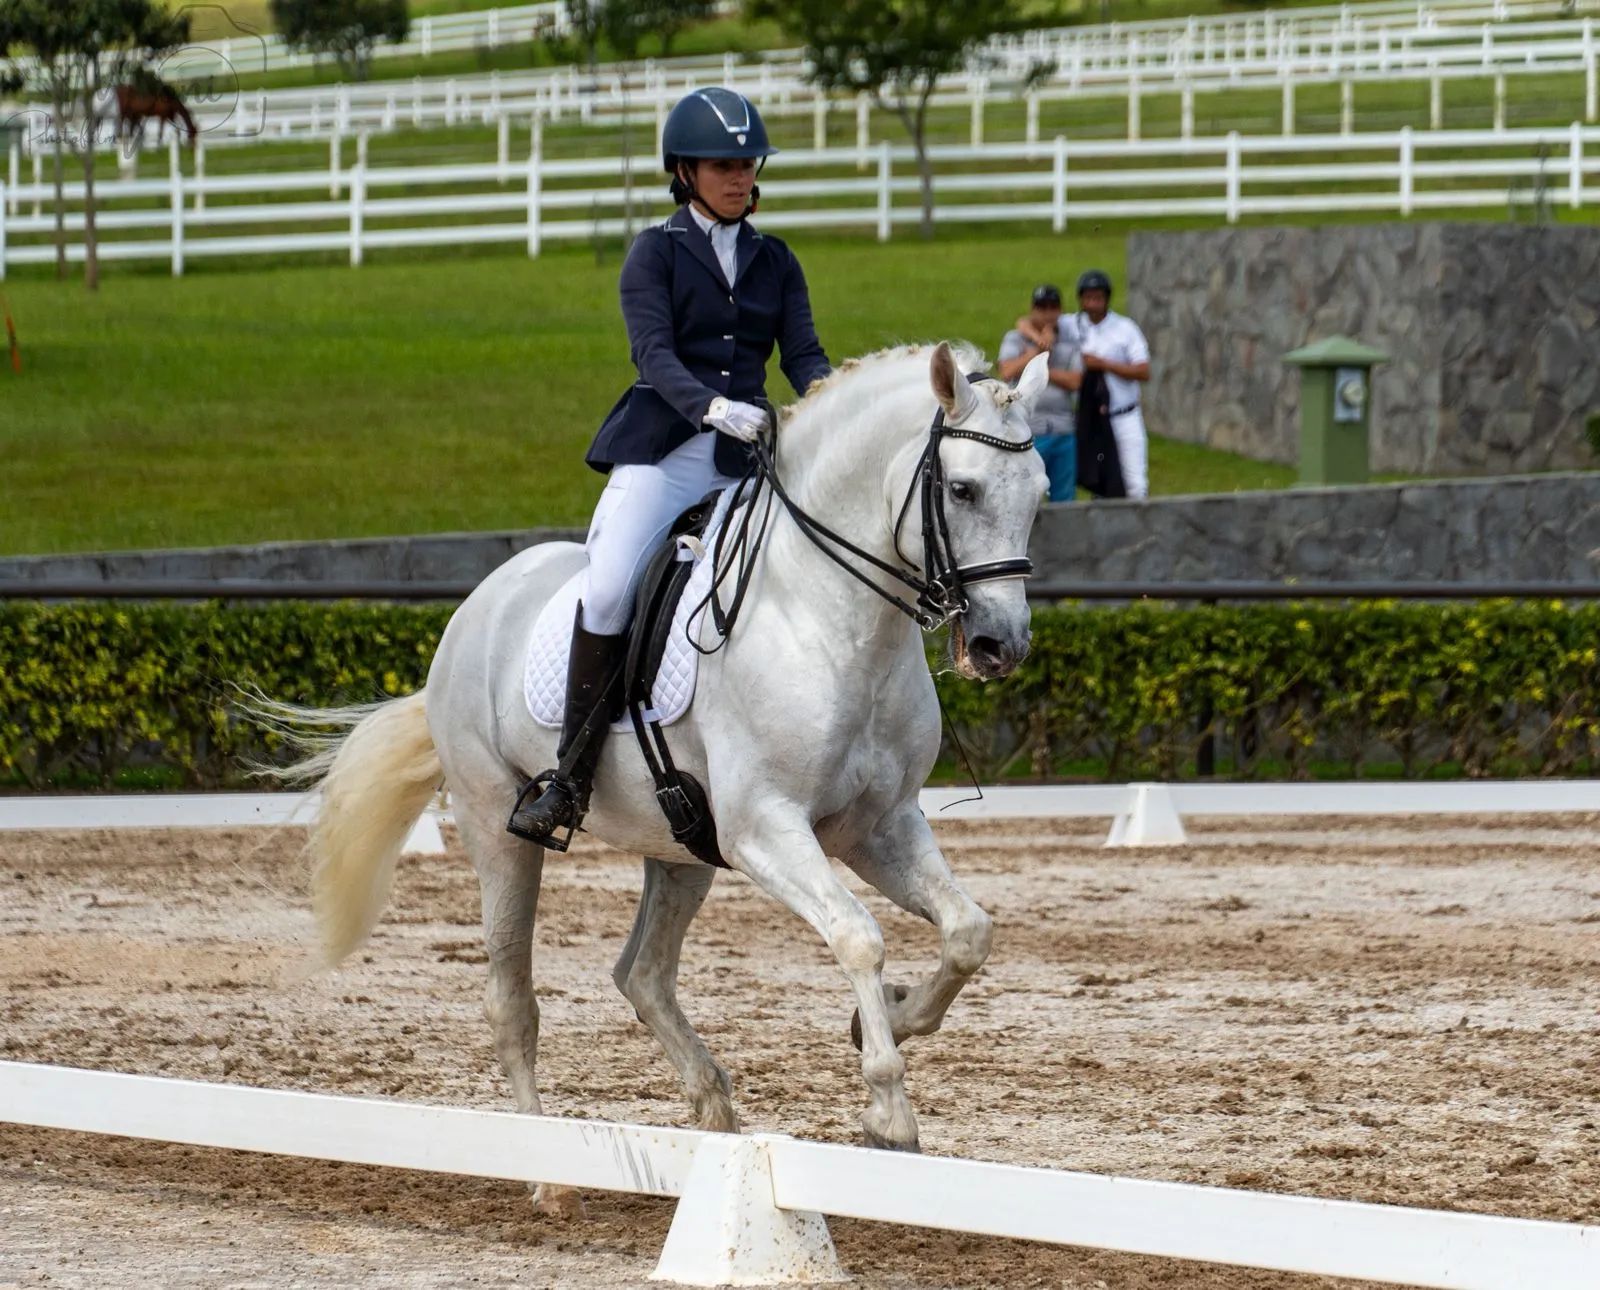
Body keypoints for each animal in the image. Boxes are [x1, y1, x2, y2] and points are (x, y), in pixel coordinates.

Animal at [269, 341, 1050, 1214]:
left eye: (1041, 493)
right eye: (962, 488)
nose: (999, 646)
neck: (833, 620)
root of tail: (478, 606)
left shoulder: (880, 826)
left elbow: (968, 931)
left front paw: (892, 1018)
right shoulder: (766, 829)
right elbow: (858, 936)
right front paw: (889, 1110)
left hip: (681, 848)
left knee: (641, 975)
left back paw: (715, 1118)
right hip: (495, 824)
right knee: (512, 998)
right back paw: (548, 1176)